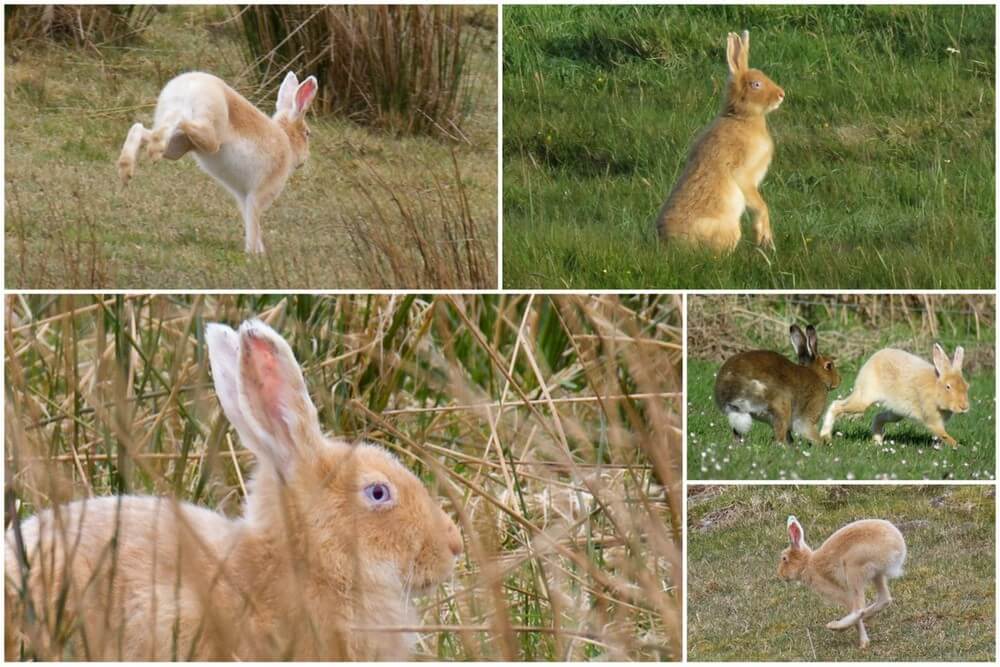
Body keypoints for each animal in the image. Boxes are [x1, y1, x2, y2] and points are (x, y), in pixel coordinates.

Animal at [116, 71, 318, 255]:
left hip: (178, 143)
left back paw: (129, 167)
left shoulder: (244, 196)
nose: (304, 159)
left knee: (142, 129)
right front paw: (255, 253)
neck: (287, 142)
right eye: (307, 133)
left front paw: (256, 250)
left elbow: (248, 218)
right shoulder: (260, 194)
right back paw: (150, 152)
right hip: (210, 132)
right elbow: (254, 221)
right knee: (181, 122)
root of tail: (188, 84)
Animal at [656, 30, 785, 253]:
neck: (741, 117)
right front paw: (764, 237)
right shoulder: (744, 173)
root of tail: (667, 242)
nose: (781, 95)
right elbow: (759, 205)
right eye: (756, 84)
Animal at [778, 515, 906, 649]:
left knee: (860, 609)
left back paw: (836, 626)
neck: (807, 563)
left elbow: (855, 613)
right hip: (877, 574)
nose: (780, 575)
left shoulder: (842, 594)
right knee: (884, 599)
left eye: (784, 559)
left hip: (853, 570)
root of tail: (898, 547)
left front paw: (863, 642)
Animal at [821, 344, 969, 448]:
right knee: (836, 405)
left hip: (896, 412)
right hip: (863, 400)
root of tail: (873, 358)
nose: (964, 407)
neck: (935, 390)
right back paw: (825, 435)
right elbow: (944, 435)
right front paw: (958, 447)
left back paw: (878, 442)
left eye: (966, 386)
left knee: (878, 417)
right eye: (948, 387)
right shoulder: (933, 421)